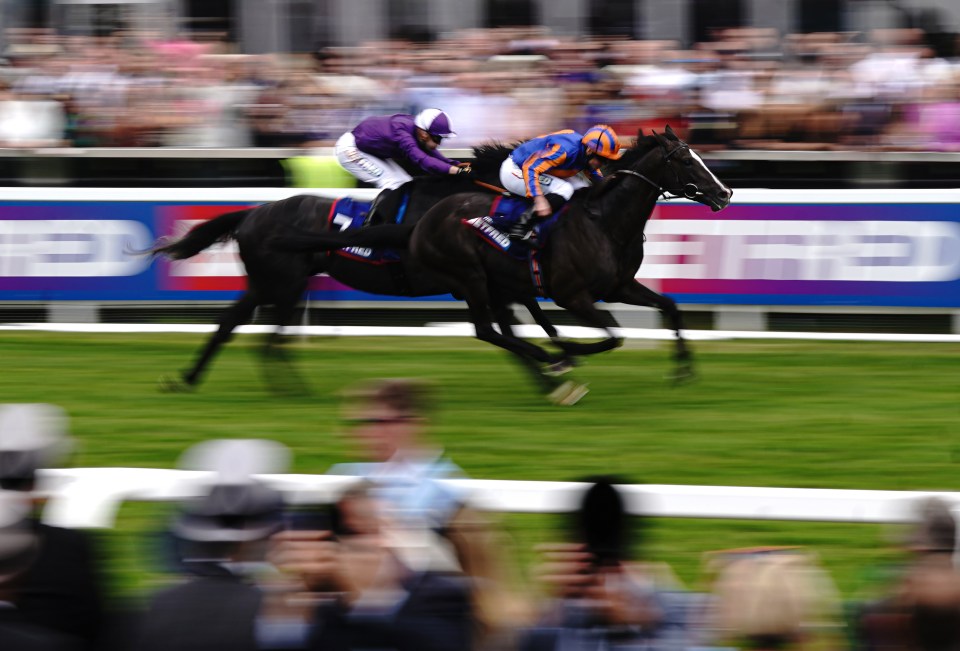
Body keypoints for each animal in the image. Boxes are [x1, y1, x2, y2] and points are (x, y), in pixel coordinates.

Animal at [146, 171, 572, 394]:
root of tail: (253, 212)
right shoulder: (474, 282)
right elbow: (509, 325)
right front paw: (555, 368)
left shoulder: (490, 283)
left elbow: (515, 325)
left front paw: (554, 369)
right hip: (285, 284)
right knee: (271, 338)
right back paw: (293, 389)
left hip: (263, 283)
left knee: (230, 326)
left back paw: (188, 379)